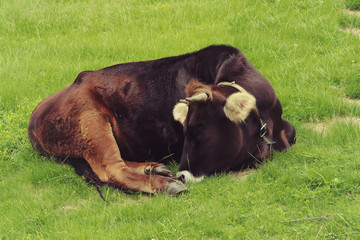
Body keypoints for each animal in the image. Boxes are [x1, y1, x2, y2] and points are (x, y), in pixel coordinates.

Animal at [28, 45, 296, 195]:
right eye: (186, 131)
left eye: (199, 130)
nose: (182, 174)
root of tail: (34, 117)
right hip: (91, 120)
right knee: (112, 168)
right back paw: (166, 184)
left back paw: (155, 168)